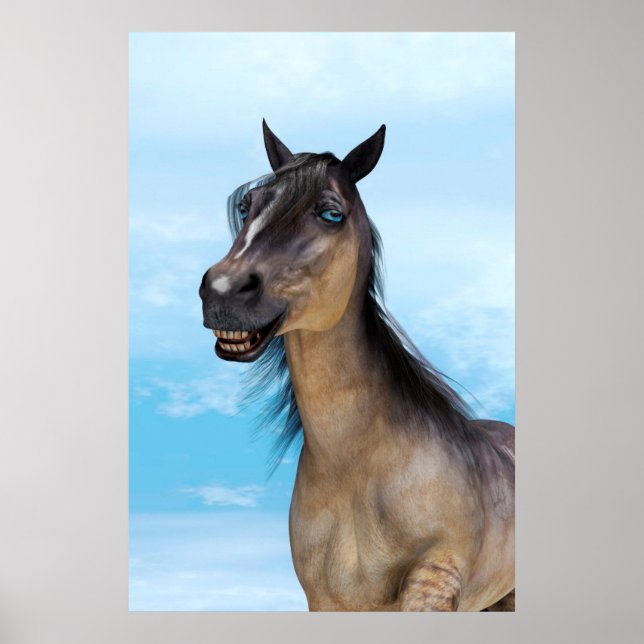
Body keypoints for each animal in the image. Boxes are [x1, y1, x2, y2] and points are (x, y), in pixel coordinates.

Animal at [199, 120, 515, 611]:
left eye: (331, 214)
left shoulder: (432, 586)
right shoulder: (324, 601)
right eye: (247, 205)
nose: (223, 291)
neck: (357, 471)